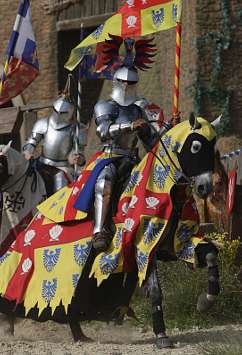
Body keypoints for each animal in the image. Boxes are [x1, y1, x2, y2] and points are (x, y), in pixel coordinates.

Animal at [0, 115, 221, 350]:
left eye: (212, 146)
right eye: (195, 146)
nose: (204, 187)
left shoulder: (175, 244)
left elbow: (210, 254)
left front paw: (205, 301)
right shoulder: (143, 249)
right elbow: (155, 291)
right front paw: (161, 334)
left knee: (71, 302)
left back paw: (79, 334)